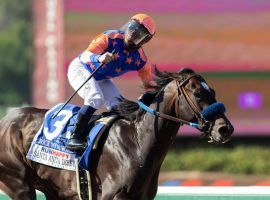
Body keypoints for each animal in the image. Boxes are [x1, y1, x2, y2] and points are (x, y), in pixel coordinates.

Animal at [0, 68, 233, 199]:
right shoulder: (113, 194)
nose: (225, 128)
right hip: (19, 184)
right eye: (198, 93)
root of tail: (6, 120)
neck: (136, 142)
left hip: (55, 190)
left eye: (212, 91)